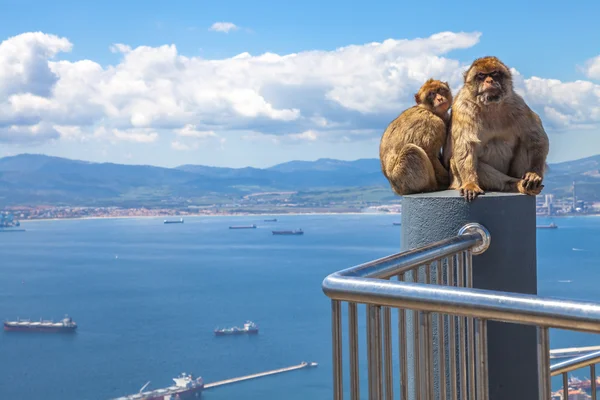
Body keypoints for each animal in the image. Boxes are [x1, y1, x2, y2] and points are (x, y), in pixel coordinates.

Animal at [442, 55, 552, 202]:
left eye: (494, 73)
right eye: (481, 75)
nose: (489, 80)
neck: (490, 106)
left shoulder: (517, 105)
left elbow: (536, 138)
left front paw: (534, 173)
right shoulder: (463, 107)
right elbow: (466, 146)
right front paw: (470, 184)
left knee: (526, 143)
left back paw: (522, 184)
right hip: (456, 180)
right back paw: (513, 184)